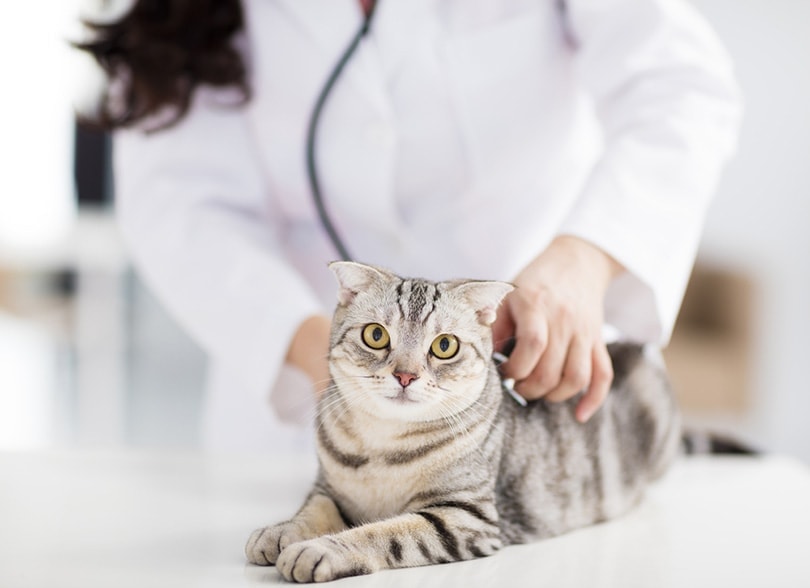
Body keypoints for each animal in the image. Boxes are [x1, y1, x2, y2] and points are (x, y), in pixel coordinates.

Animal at [243, 262, 680, 584]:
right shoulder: (328, 488)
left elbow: (383, 533)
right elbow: (312, 510)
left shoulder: (464, 518)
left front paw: (321, 549)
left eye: (444, 346)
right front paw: (280, 531)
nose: (405, 375)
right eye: (376, 335)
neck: (382, 446)